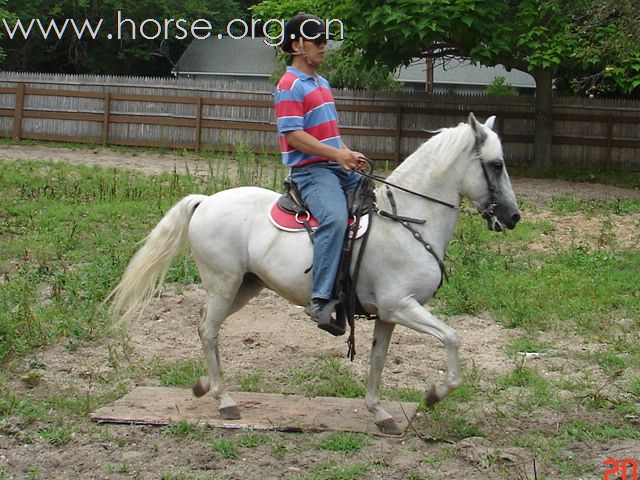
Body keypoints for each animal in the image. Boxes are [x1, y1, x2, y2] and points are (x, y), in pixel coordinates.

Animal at [109, 113, 520, 436]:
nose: (513, 217)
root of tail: (206, 201)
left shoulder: (389, 315)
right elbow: (452, 338)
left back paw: (203, 386)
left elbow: (378, 359)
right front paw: (434, 394)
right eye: (496, 165)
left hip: (244, 287)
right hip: (224, 284)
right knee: (209, 331)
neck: (406, 220)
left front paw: (380, 413)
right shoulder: (402, 306)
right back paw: (225, 400)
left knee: (203, 326)